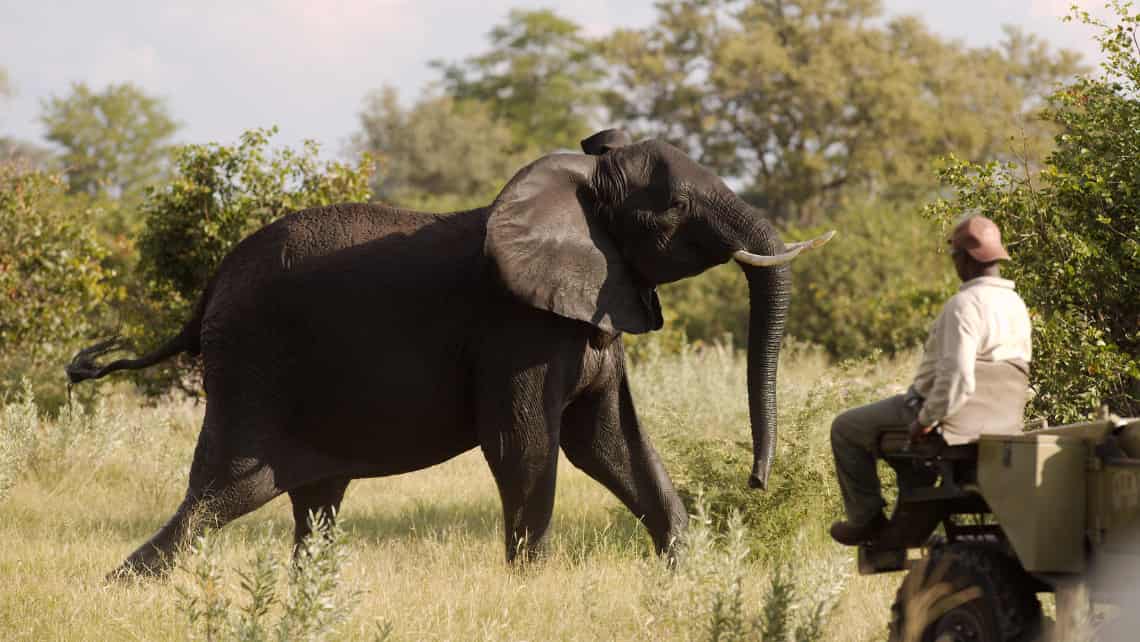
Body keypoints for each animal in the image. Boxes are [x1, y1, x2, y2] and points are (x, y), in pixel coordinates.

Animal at [71, 127, 834, 577]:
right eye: (674, 209)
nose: (757, 481)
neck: (577, 186)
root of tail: (211, 286)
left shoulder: (594, 307)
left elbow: (611, 442)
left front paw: (693, 574)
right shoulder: (515, 328)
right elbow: (528, 442)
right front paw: (531, 586)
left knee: (310, 501)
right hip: (253, 365)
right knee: (225, 492)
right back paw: (126, 586)